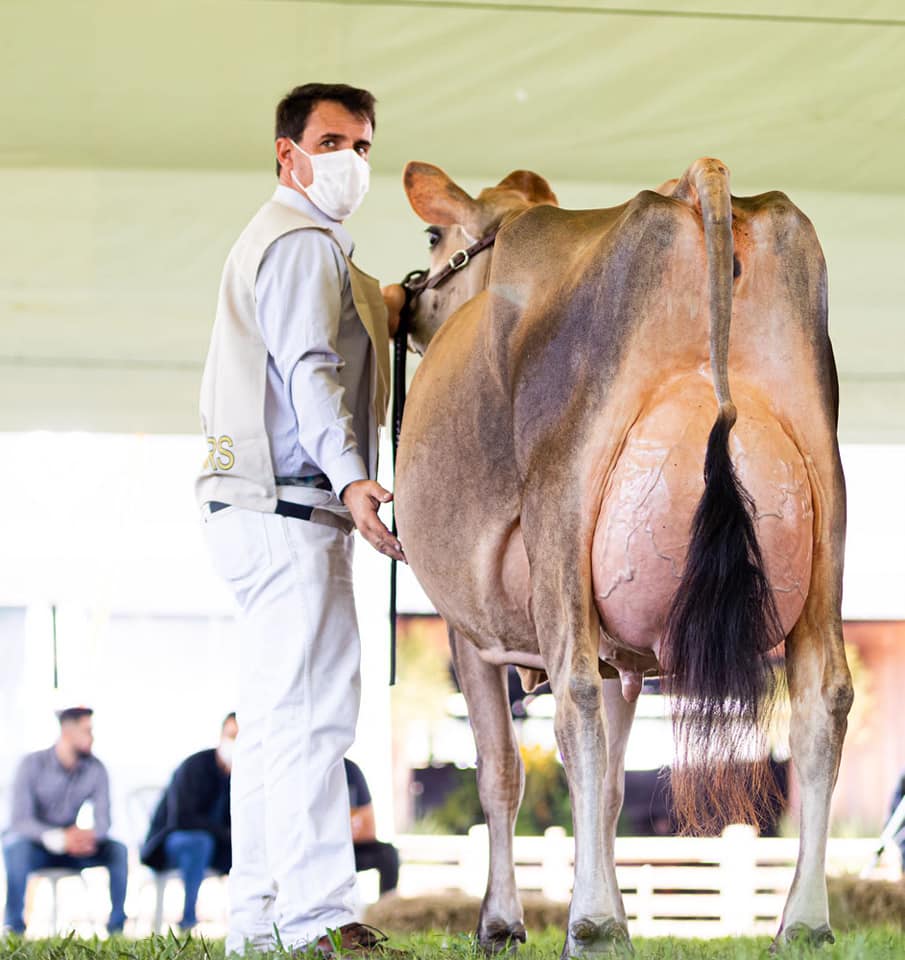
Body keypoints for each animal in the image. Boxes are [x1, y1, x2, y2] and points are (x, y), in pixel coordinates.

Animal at [392, 156, 852, 952]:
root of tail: (696, 190)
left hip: (561, 513)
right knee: (824, 698)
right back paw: (801, 923)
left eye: (434, 236)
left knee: (572, 696)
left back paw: (595, 923)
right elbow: (607, 786)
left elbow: (501, 771)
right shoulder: (626, 656)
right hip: (829, 511)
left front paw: (502, 922)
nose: (413, 309)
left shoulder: (466, 625)